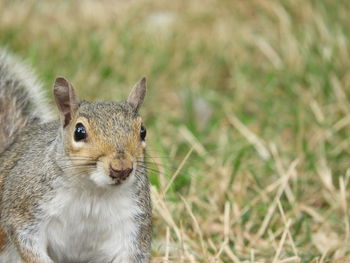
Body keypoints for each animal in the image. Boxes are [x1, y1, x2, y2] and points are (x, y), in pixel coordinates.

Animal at [0, 50, 152, 263]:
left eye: (143, 131)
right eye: (79, 132)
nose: (121, 169)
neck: (93, 192)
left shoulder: (132, 223)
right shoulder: (24, 208)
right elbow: (26, 240)